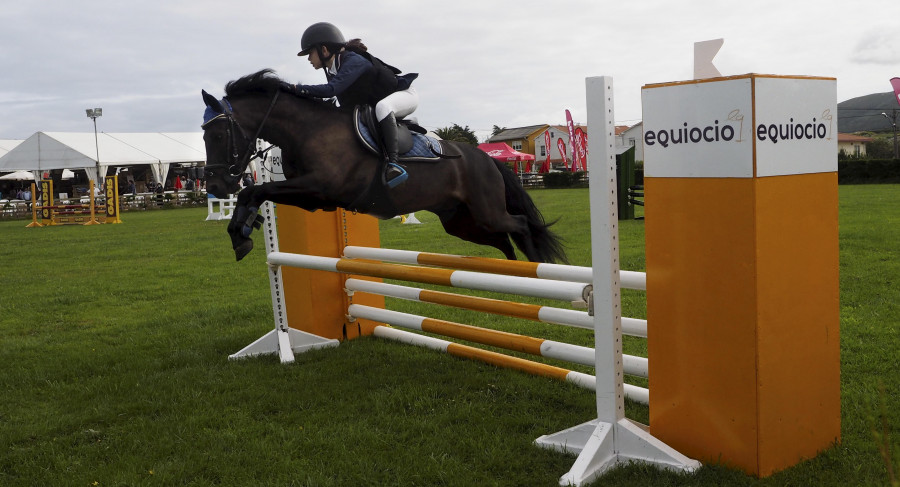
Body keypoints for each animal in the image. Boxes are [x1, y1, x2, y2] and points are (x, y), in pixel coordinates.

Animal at [200, 69, 568, 264]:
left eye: (217, 134)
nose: (215, 187)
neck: (307, 130)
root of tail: (487, 160)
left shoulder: (319, 187)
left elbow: (255, 189)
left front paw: (242, 230)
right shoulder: (314, 198)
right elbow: (255, 191)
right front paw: (241, 231)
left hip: (485, 210)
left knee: (520, 225)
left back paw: (537, 268)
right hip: (462, 222)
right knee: (504, 239)